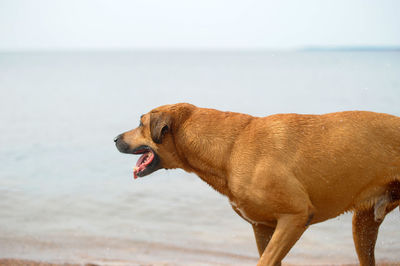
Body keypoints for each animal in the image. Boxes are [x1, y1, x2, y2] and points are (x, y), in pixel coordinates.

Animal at [114, 103, 398, 266]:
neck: (231, 147)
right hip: (363, 223)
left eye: (140, 123)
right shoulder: (263, 228)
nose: (116, 138)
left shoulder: (295, 216)